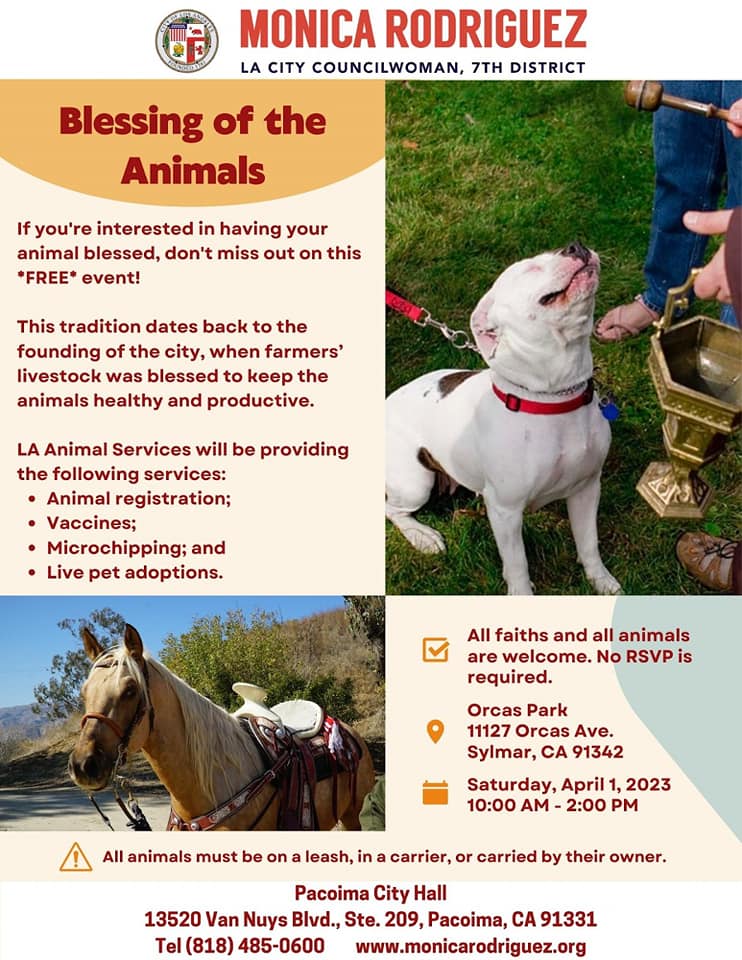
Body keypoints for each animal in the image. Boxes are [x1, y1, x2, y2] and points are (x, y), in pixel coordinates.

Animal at [384, 242, 620, 592]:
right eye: (530, 268)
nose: (575, 246)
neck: (553, 398)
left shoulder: (587, 487)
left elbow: (589, 543)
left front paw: (602, 582)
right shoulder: (505, 511)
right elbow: (518, 564)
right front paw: (521, 594)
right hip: (415, 482)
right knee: (393, 510)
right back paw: (422, 536)